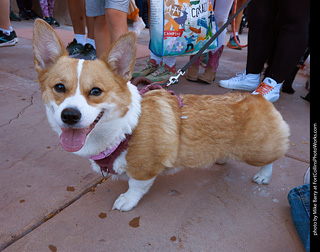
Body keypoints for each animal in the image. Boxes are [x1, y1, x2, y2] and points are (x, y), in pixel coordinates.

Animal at [32, 19, 290, 212]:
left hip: (256, 151)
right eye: (59, 88)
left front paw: (126, 201)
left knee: (272, 159)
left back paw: (263, 176)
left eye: (95, 91)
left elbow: (135, 186)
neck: (123, 130)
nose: (70, 116)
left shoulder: (143, 170)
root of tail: (259, 97)